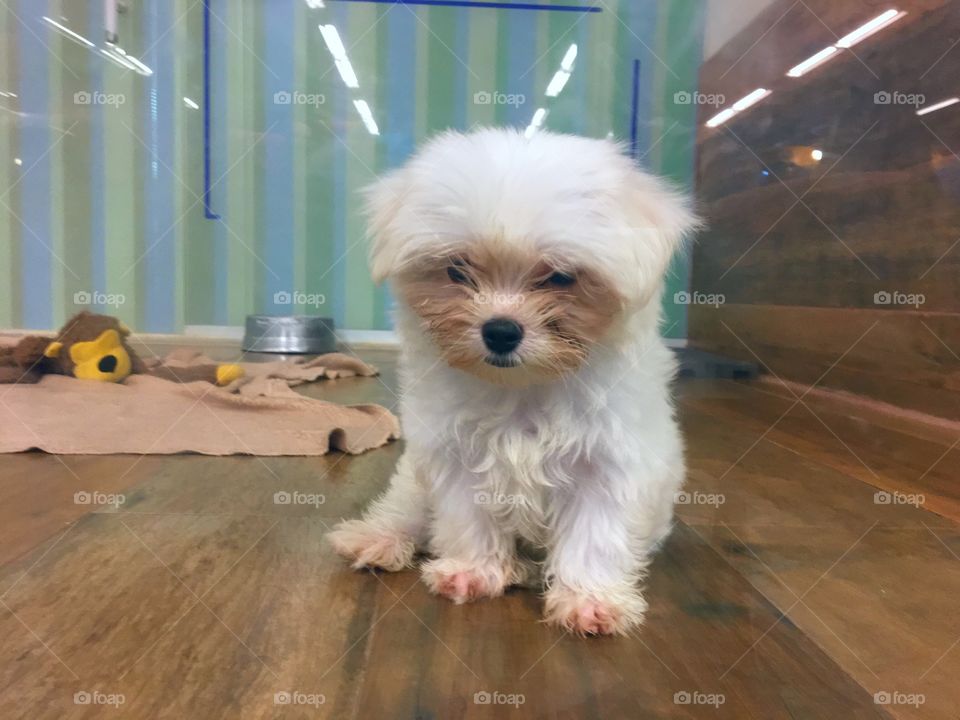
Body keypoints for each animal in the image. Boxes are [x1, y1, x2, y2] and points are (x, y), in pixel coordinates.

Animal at [330, 128, 696, 636]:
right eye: (457, 270)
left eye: (561, 276)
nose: (500, 331)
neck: (523, 388)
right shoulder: (455, 453)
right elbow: (466, 514)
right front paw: (472, 570)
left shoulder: (609, 461)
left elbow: (596, 532)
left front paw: (589, 599)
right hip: (413, 481)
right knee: (406, 509)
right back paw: (378, 538)